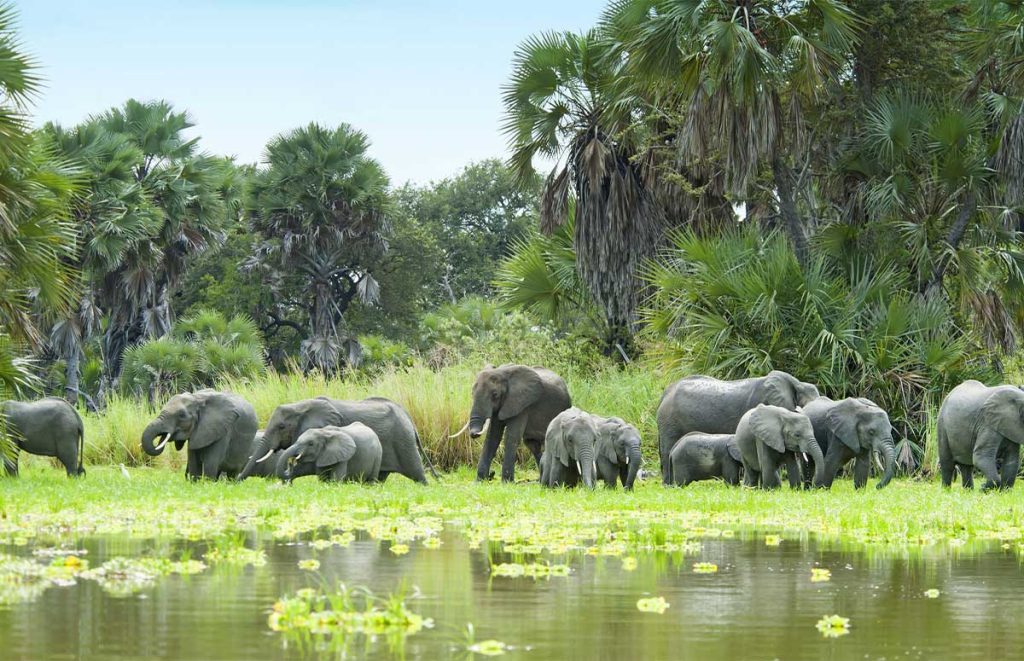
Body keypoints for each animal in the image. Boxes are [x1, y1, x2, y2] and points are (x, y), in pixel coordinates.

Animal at [237, 397, 434, 485]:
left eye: (281, 427)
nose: (238, 480)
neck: (302, 406)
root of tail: (408, 417)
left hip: (403, 440)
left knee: (416, 472)